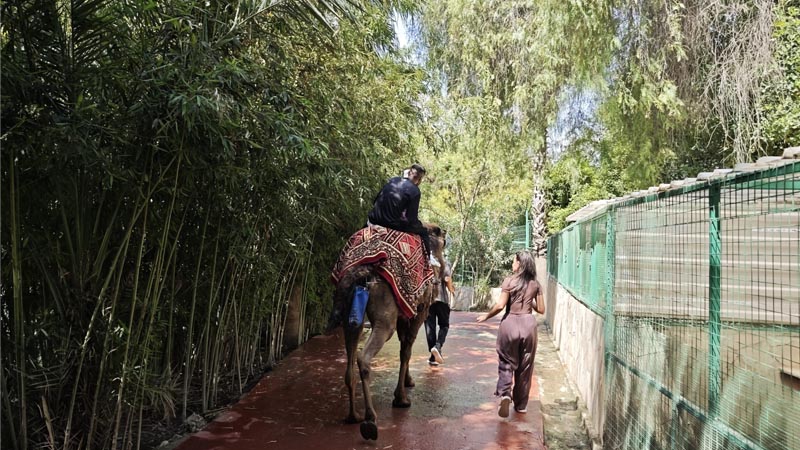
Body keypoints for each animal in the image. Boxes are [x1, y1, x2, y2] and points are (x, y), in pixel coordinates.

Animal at [331, 224, 446, 440]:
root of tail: (360, 271)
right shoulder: (419, 310)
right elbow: (406, 350)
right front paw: (401, 398)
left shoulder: (405, 312)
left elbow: (405, 346)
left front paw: (408, 382)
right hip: (385, 315)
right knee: (364, 356)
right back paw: (370, 419)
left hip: (350, 313)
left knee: (350, 355)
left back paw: (353, 416)